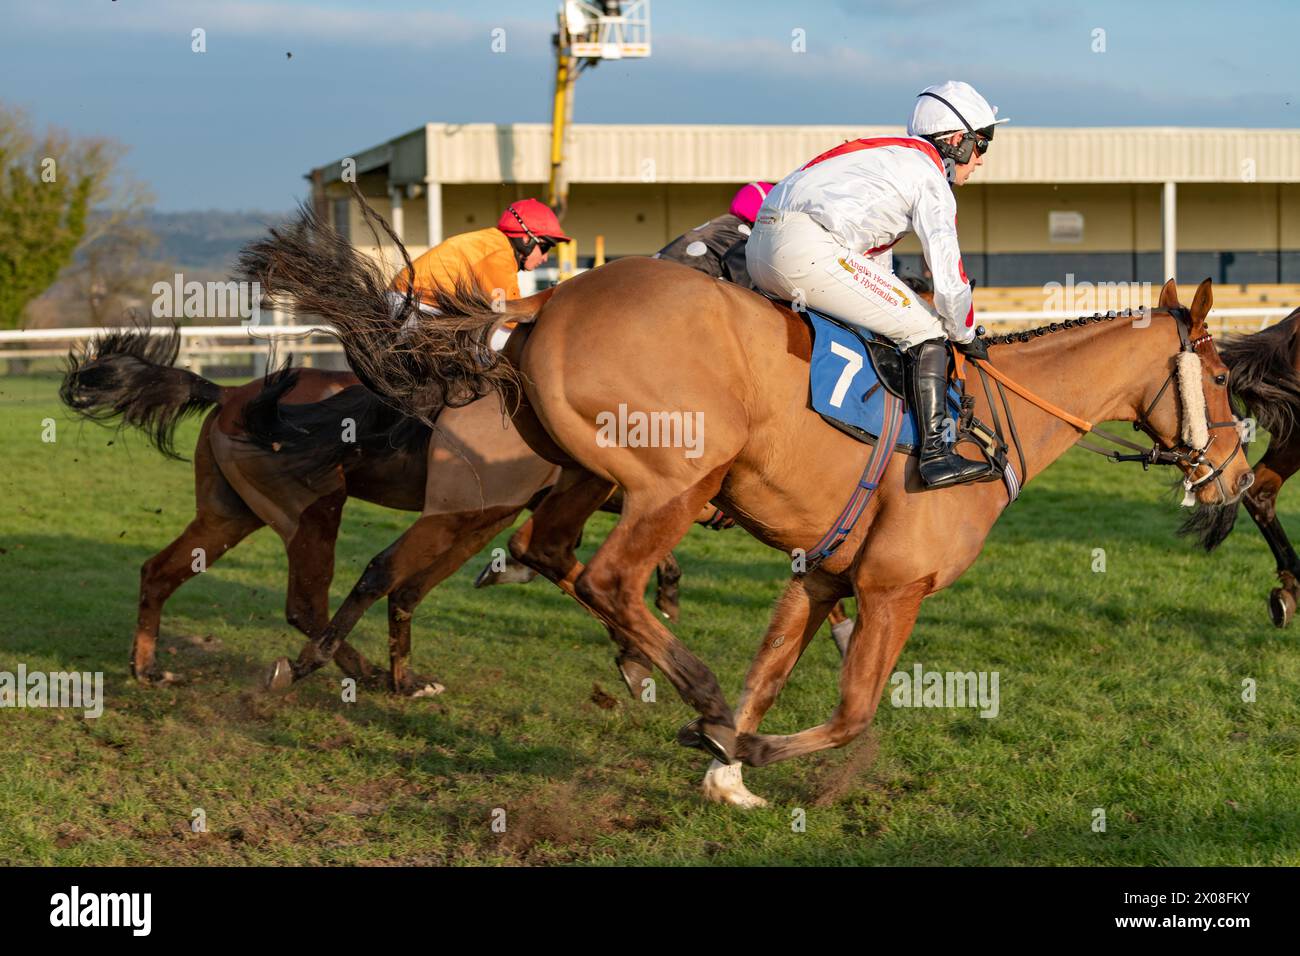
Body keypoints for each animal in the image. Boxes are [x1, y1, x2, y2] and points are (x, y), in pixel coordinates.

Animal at [241, 201, 1248, 806]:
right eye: (1225, 376)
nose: (1234, 477)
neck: (997, 423)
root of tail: (535, 311)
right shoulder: (893, 588)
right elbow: (852, 712)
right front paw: (736, 747)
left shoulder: (825, 578)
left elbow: (775, 669)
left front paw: (729, 772)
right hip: (672, 481)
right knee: (597, 576)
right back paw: (688, 684)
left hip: (584, 477)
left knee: (550, 554)